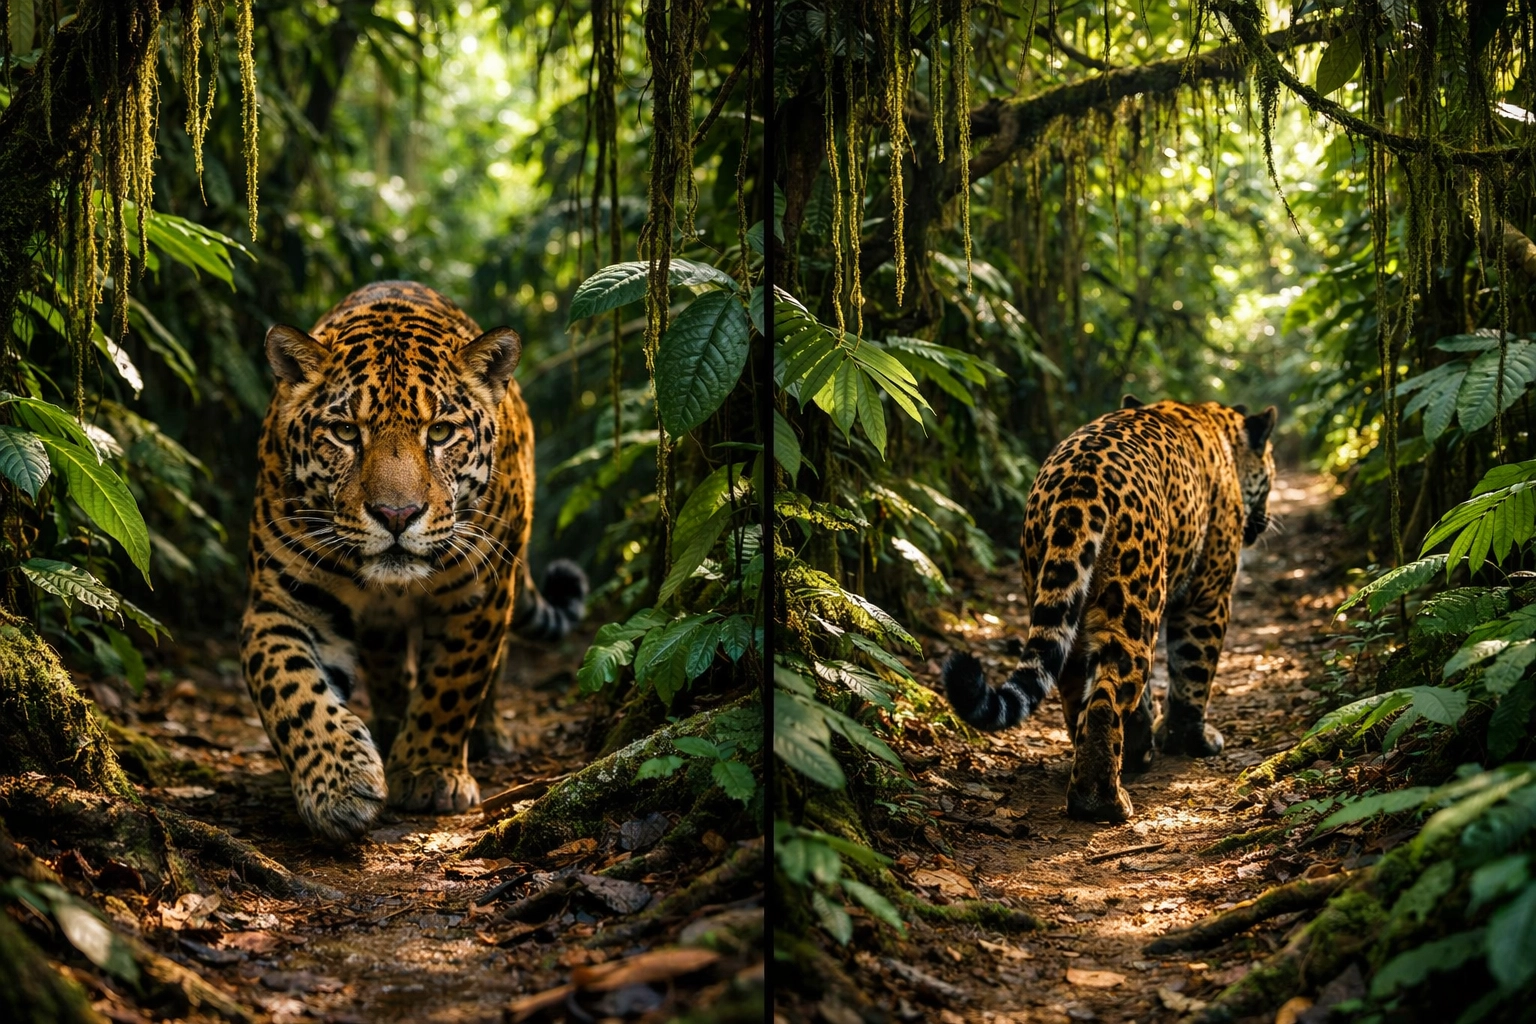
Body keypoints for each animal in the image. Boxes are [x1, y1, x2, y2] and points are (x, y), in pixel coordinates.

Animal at [241, 281, 587, 843]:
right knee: (384, 659)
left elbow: (453, 682)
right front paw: (339, 785)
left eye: (441, 433)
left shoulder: (482, 592)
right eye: (345, 432)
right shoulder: (283, 600)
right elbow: (290, 687)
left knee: (495, 665)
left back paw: (488, 733)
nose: (396, 514)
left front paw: (428, 772)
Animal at [942, 396, 1277, 822]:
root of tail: (1079, 480)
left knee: (1074, 686)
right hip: (1134, 598)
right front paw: (1191, 741)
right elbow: (1193, 672)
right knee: (1107, 697)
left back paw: (1107, 763)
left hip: (1064, 597)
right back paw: (1102, 800)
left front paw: (1146, 742)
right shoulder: (1207, 595)